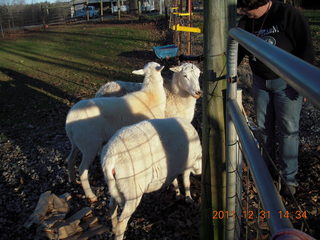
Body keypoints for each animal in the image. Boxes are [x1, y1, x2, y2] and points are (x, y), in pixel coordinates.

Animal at [64, 61, 166, 202]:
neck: (151, 94)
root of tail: (70, 119)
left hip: (76, 143)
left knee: (71, 159)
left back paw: (73, 180)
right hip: (90, 144)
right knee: (82, 169)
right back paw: (90, 195)